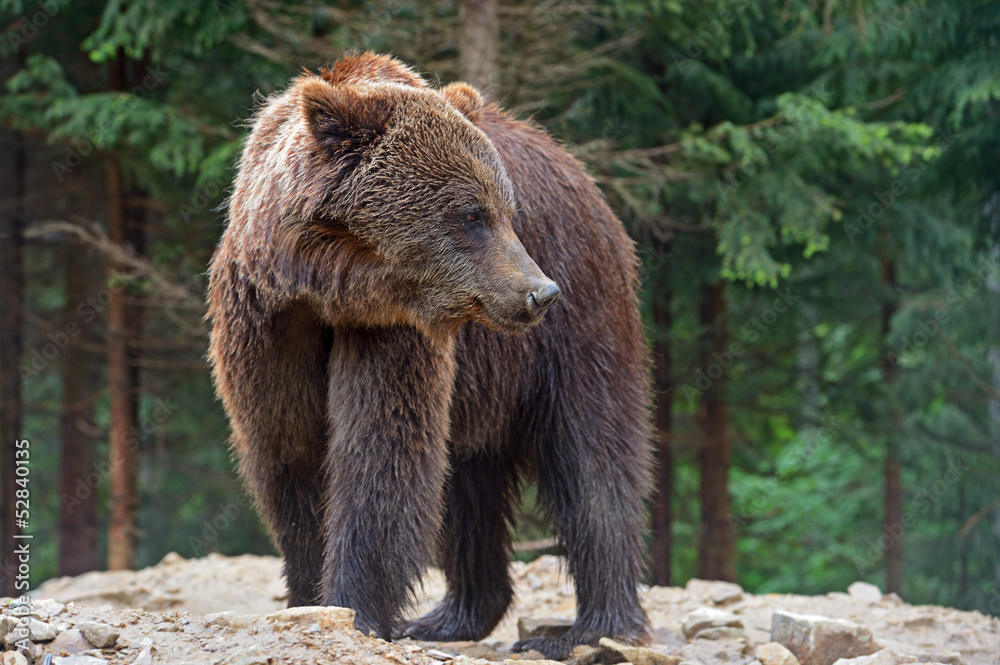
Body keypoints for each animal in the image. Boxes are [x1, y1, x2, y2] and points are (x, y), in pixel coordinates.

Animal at [207, 52, 652, 660]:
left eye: (507, 211)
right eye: (472, 214)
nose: (539, 293)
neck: (330, 286)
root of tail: (580, 173)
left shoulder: (396, 332)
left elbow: (381, 452)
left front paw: (357, 608)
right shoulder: (268, 322)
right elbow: (289, 448)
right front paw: (307, 597)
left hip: (579, 322)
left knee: (592, 457)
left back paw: (588, 629)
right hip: (484, 385)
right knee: (466, 487)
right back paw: (450, 617)